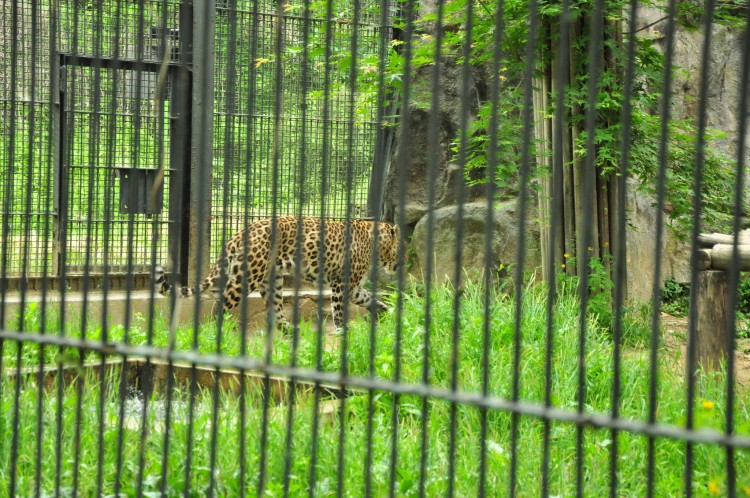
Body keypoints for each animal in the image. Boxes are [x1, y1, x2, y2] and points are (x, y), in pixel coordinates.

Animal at [156, 217, 402, 330]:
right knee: (221, 304)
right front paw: (343, 330)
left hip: (271, 280)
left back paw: (290, 331)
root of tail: (239, 233)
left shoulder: (354, 288)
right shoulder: (341, 284)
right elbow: (339, 309)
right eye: (400, 248)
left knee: (275, 311)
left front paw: (387, 312)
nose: (400, 265)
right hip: (247, 277)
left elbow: (370, 299)